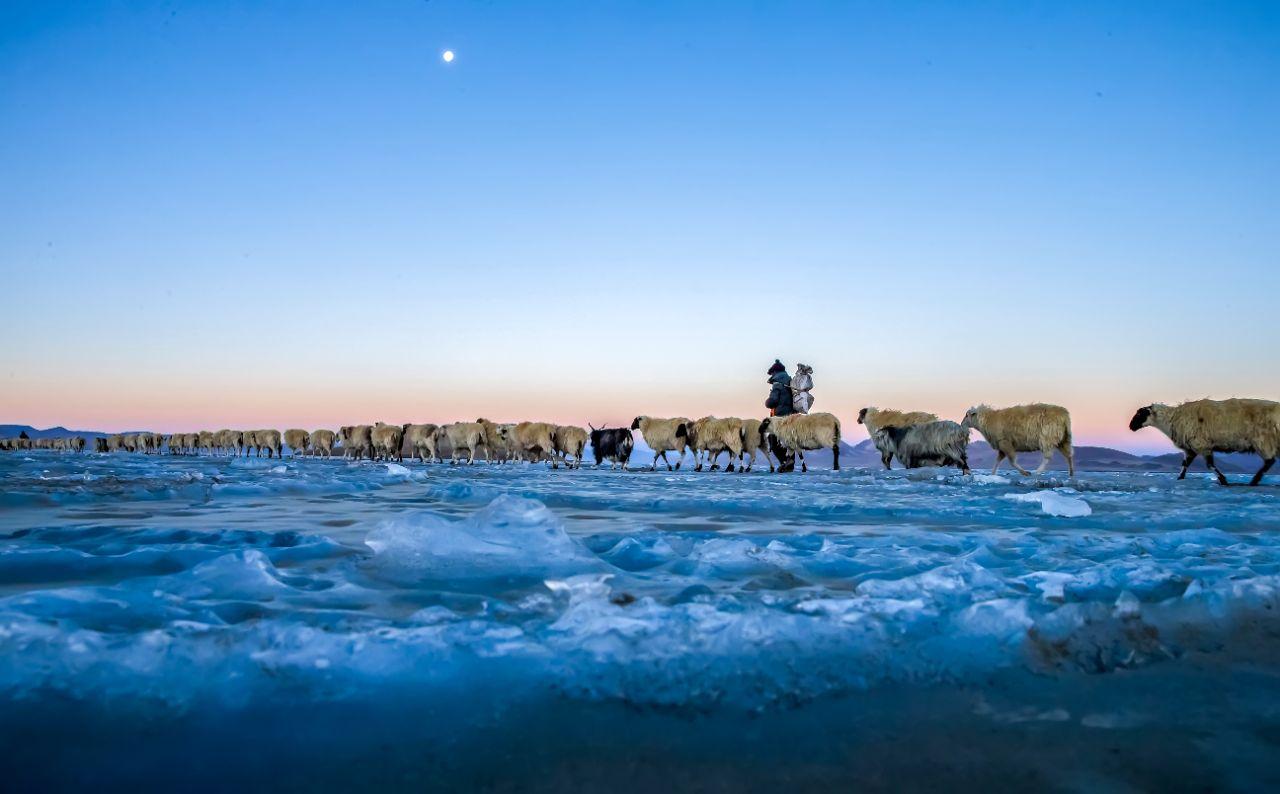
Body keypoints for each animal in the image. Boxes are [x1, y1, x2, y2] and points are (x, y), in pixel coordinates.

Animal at [1131, 397, 1280, 484]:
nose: (1131, 426)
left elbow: (1209, 465)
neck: (1172, 419)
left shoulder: (1202, 445)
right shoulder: (1190, 448)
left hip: (1263, 441)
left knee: (1269, 461)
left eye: (1140, 414)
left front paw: (1223, 480)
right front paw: (1180, 478)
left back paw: (1254, 480)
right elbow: (1185, 464)